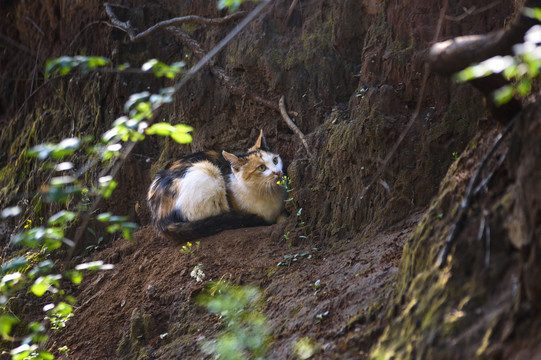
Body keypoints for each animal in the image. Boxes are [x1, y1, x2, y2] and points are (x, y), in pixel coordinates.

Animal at [146, 131, 284, 240]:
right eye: (261, 168)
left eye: (275, 160)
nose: (278, 172)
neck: (267, 193)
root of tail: (159, 218)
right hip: (207, 173)